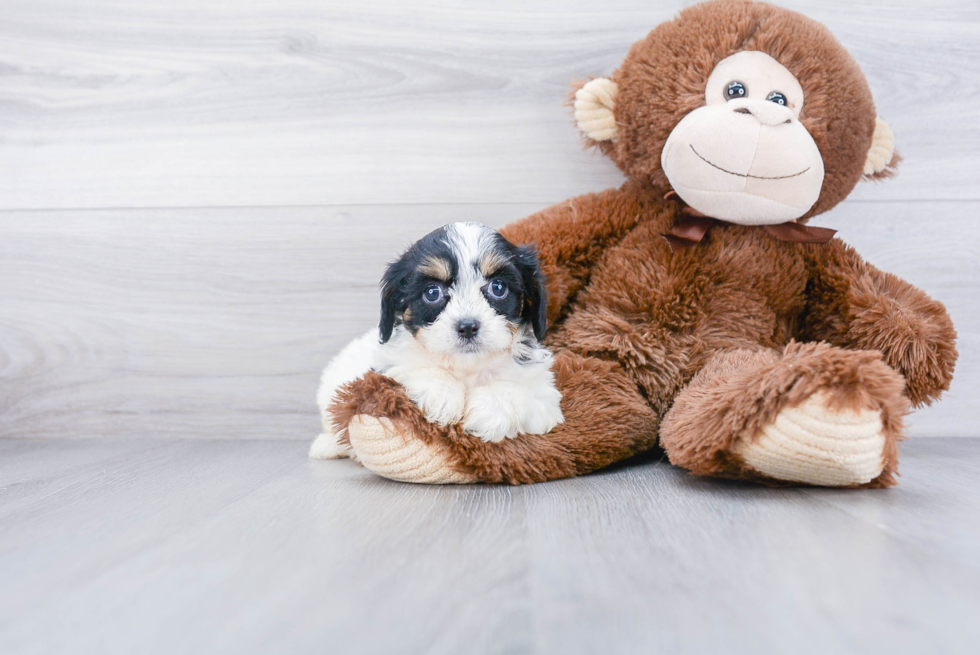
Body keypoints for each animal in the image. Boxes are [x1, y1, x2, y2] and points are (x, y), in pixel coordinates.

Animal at [310, 223, 564, 458]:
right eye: (432, 293)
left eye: (498, 287)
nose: (467, 326)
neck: (467, 368)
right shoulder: (389, 363)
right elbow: (417, 368)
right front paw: (442, 395)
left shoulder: (546, 398)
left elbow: (517, 391)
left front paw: (490, 409)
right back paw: (327, 446)